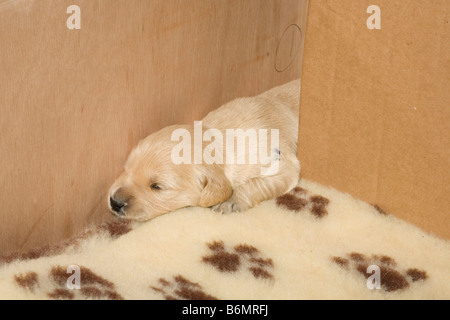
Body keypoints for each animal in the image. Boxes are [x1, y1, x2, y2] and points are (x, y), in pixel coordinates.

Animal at [107, 79, 300, 220]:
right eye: (126, 169)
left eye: (157, 187)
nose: (114, 202)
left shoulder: (283, 165)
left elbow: (257, 182)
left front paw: (230, 200)